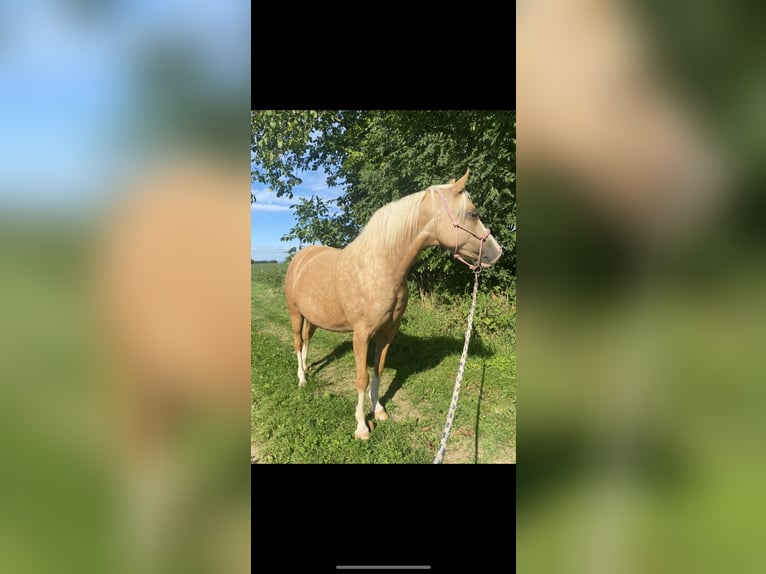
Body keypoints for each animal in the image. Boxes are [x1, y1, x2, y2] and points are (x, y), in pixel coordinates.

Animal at [284, 169, 503, 440]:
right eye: (473, 213)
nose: (497, 252)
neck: (381, 266)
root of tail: (301, 257)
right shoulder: (361, 335)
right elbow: (362, 378)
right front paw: (361, 427)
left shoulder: (387, 332)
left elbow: (378, 371)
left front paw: (378, 411)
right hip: (295, 314)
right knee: (297, 342)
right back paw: (302, 379)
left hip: (313, 317)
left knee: (306, 341)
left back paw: (308, 370)